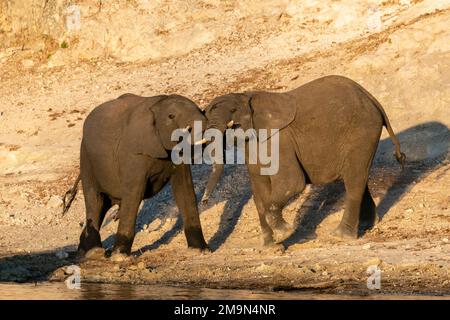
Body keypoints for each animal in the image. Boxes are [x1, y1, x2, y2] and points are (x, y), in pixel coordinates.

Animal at [62, 93, 209, 260]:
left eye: (201, 110)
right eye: (171, 116)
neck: (158, 103)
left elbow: (185, 189)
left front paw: (201, 250)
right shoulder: (134, 154)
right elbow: (134, 194)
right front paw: (119, 256)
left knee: (103, 205)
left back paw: (85, 250)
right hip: (86, 157)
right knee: (95, 200)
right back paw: (94, 251)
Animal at [202, 75, 406, 248]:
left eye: (233, 111)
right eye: (206, 116)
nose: (204, 201)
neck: (247, 95)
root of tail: (372, 99)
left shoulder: (279, 141)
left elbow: (291, 183)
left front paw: (285, 232)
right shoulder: (251, 148)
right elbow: (259, 193)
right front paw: (271, 246)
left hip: (362, 131)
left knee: (354, 181)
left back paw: (341, 235)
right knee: (359, 177)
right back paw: (367, 224)